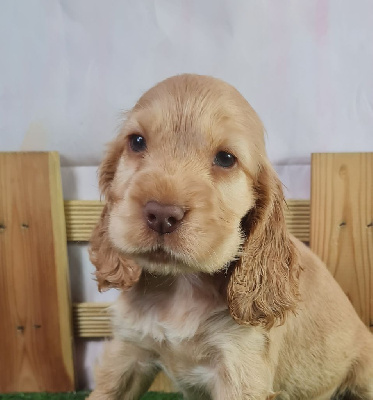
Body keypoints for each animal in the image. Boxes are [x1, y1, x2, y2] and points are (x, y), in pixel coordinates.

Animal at [88, 73, 372, 398]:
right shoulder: (128, 350)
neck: (181, 285)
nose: (161, 214)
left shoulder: (240, 365)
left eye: (225, 158)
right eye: (136, 141)